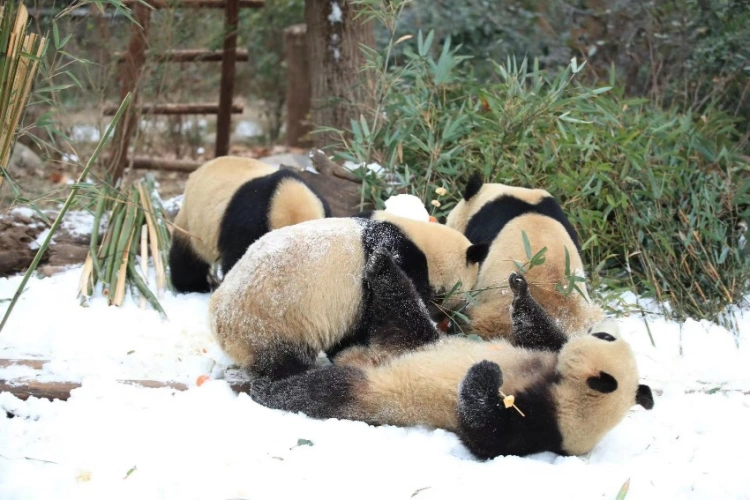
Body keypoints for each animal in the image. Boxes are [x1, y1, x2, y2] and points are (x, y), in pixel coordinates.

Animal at [209, 214, 489, 380]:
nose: (453, 316)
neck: (425, 244)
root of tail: (218, 323)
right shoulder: (397, 255)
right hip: (270, 322)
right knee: (283, 358)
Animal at [249, 270, 655, 460]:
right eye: (607, 338)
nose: (603, 328)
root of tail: (375, 357)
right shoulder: (547, 356)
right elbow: (540, 335)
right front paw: (520, 288)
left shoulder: (545, 425)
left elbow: (485, 432)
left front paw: (486, 371)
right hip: (415, 338)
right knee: (398, 302)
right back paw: (381, 259)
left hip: (375, 389)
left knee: (325, 390)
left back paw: (266, 389)